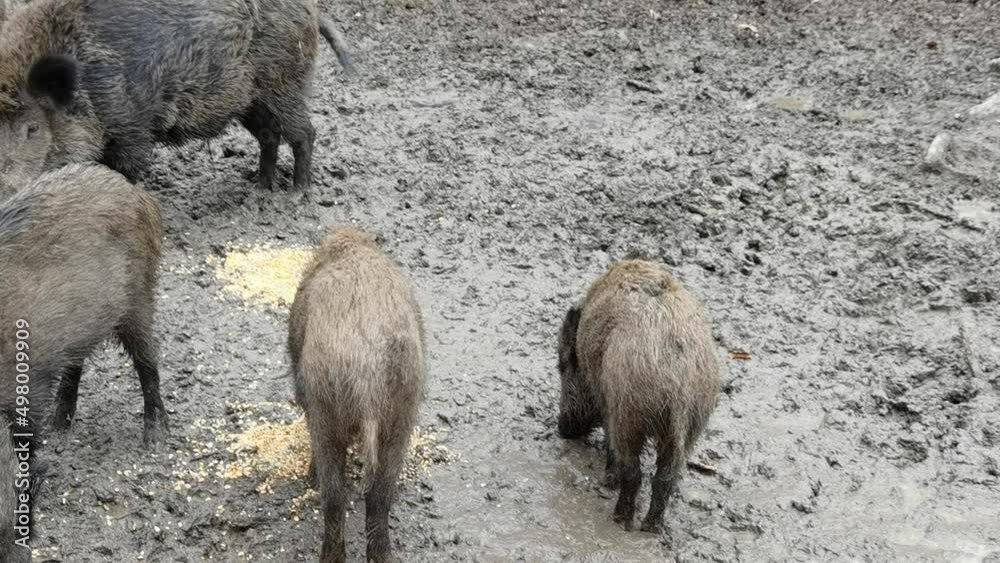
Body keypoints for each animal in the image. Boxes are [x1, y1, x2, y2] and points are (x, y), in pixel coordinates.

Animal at [0, 0, 354, 193]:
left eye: (32, 128)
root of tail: (312, 12)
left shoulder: (131, 126)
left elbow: (128, 167)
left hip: (283, 86)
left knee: (304, 132)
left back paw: (296, 193)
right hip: (250, 103)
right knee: (270, 136)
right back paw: (259, 186)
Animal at [0, 163, 168, 447]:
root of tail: (139, 195)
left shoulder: (27, 382)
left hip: (138, 296)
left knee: (147, 357)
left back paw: (155, 438)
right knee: (75, 365)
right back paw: (58, 425)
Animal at [557, 259, 721, 532]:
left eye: (563, 365)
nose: (561, 429)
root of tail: (679, 385)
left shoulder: (606, 400)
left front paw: (608, 481)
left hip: (629, 413)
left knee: (633, 472)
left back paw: (620, 518)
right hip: (694, 423)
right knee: (666, 477)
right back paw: (650, 527)